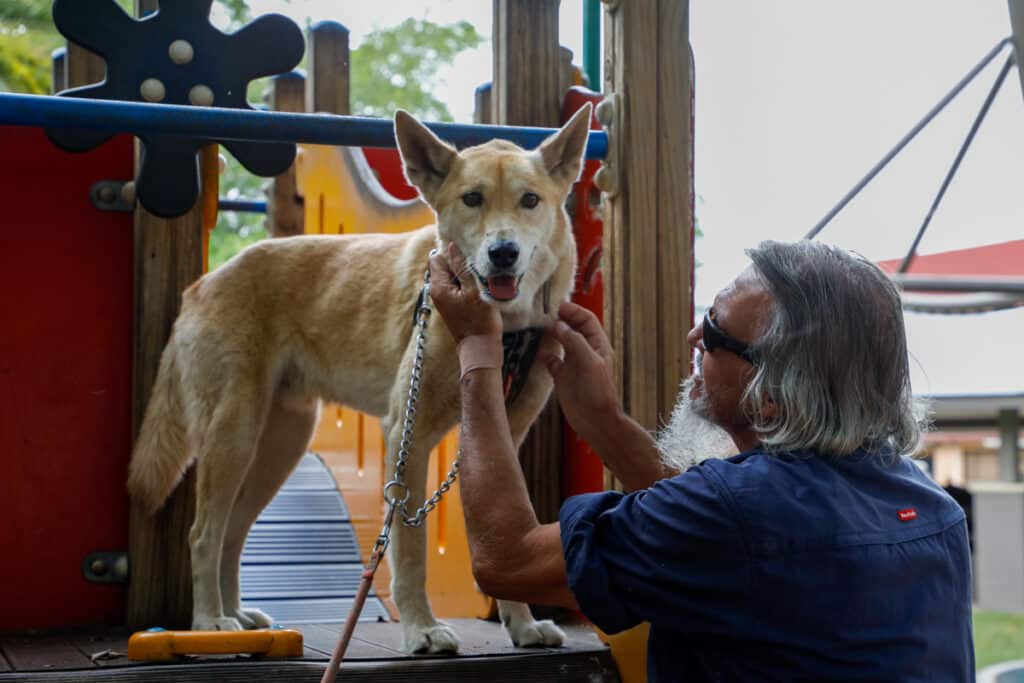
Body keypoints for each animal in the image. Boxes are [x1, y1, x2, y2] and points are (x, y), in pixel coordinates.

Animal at [128, 104, 593, 655]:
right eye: (472, 199)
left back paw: (236, 613)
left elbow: (505, 539)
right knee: (204, 533)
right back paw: (208, 622)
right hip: (233, 435)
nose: (504, 253)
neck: (503, 328)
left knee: (232, 533)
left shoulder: (502, 439)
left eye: (530, 200)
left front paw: (521, 625)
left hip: (277, 446)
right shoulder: (407, 435)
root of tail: (203, 282)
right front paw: (422, 629)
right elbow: (411, 551)